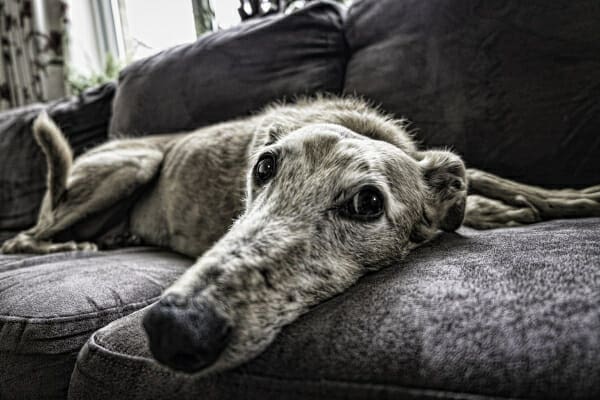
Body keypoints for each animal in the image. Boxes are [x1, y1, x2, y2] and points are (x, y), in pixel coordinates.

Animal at [1, 97, 600, 376]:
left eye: (367, 202)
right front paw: (505, 210)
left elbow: (489, 176)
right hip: (132, 164)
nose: (173, 328)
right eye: (263, 166)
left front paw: (568, 199)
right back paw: (70, 244)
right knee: (24, 238)